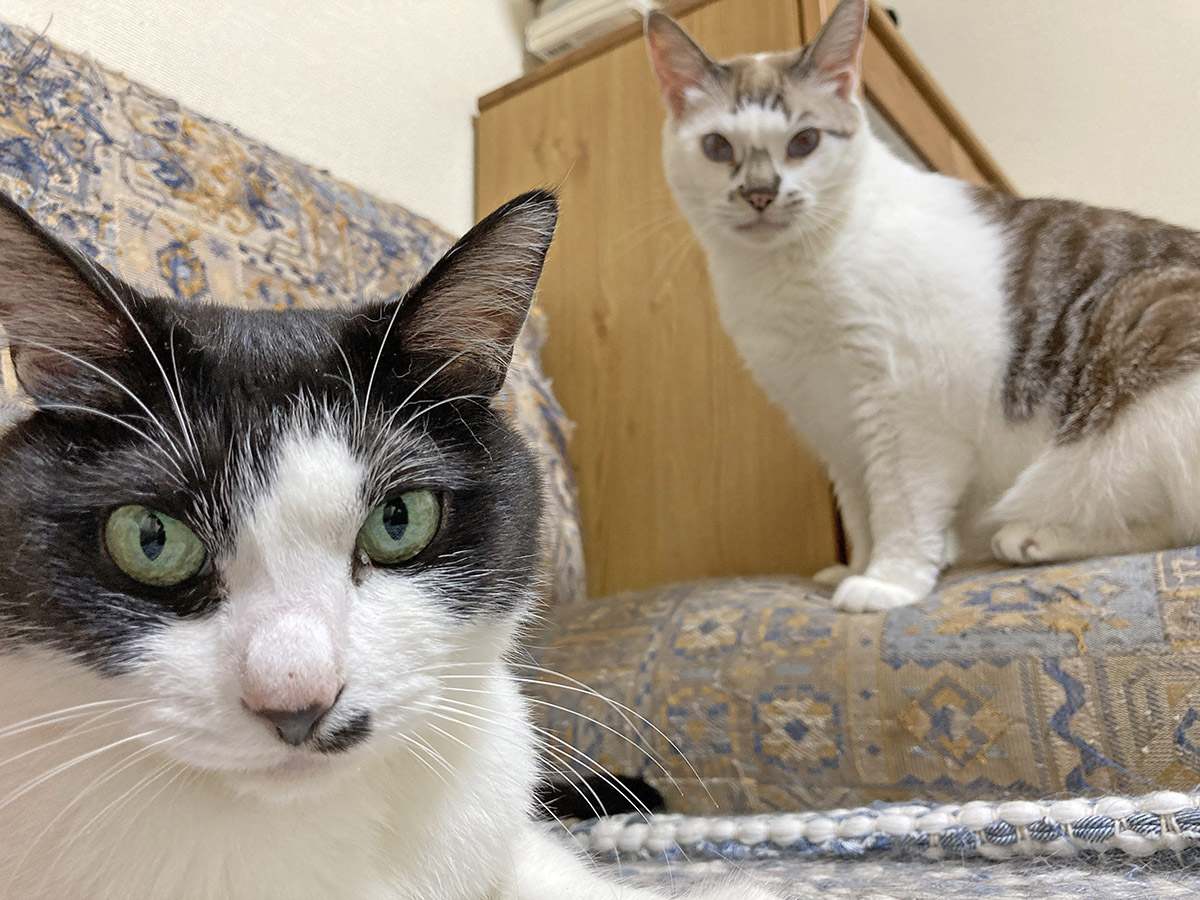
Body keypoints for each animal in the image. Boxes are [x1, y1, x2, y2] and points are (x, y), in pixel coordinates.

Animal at [646, 0, 1200, 612]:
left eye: (804, 141)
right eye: (718, 146)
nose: (760, 193)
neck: (784, 278)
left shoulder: (905, 407)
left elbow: (901, 505)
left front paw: (889, 581)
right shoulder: (831, 420)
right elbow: (861, 511)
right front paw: (856, 566)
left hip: (1144, 354)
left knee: (1170, 522)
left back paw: (1036, 534)